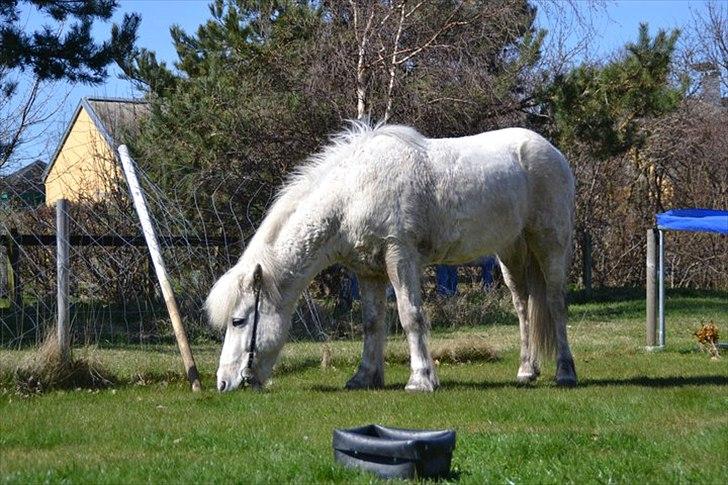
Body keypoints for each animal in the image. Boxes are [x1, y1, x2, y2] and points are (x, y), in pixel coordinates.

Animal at [208, 120, 576, 390]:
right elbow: (372, 323)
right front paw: (364, 377)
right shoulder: (368, 271)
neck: (352, 193)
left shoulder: (400, 258)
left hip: (550, 244)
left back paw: (565, 372)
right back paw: (526, 371)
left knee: (556, 302)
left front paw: (421, 380)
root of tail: (550, 150)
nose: (223, 383)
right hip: (510, 252)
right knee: (523, 306)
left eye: (238, 320)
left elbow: (410, 315)